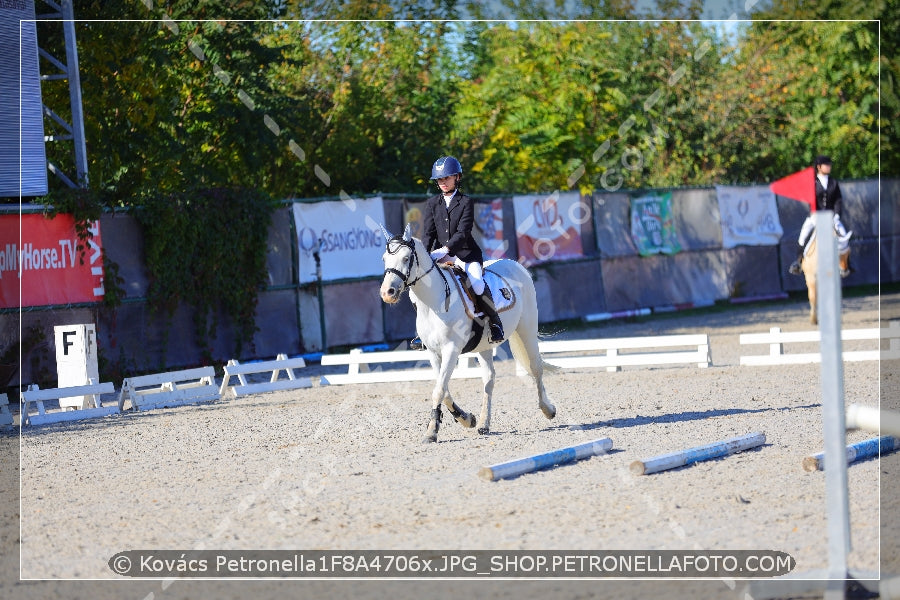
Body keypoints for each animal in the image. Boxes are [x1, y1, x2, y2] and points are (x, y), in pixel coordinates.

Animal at [380, 224, 556, 440]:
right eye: (384, 259)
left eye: (406, 258)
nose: (387, 292)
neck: (433, 304)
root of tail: (515, 264)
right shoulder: (433, 353)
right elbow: (444, 389)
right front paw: (465, 418)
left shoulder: (451, 349)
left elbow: (439, 390)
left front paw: (432, 431)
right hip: (485, 345)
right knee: (489, 378)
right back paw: (483, 424)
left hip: (527, 330)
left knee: (536, 368)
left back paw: (548, 409)